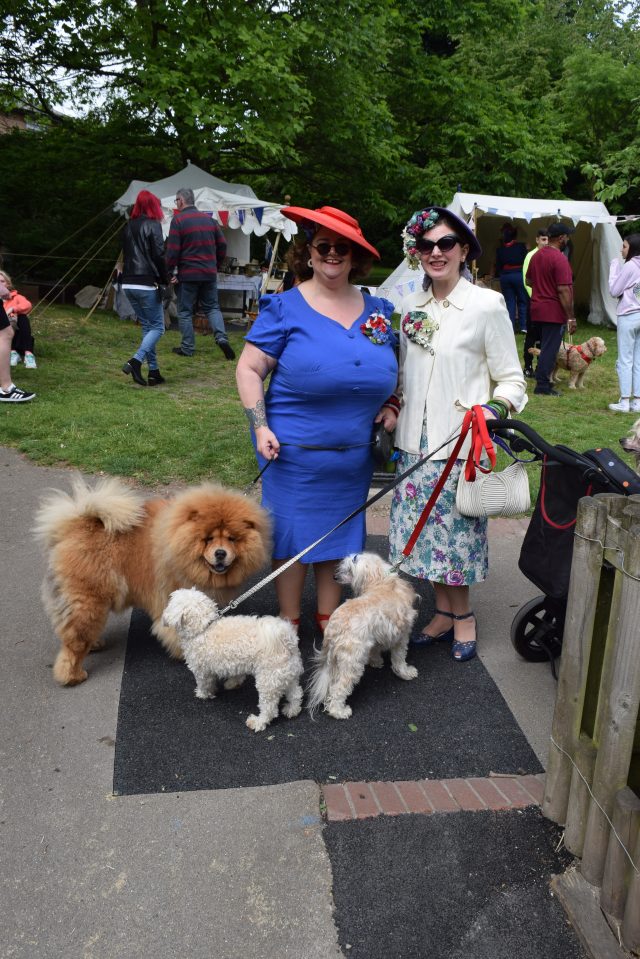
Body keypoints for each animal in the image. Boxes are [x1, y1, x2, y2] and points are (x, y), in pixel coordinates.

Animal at [35, 476, 270, 688]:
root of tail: (73, 526)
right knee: (74, 644)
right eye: (208, 539)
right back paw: (73, 676)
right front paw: (183, 652)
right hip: (88, 601)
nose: (221, 553)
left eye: (232, 539)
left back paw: (95, 645)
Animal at [161, 584, 304, 736]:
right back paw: (292, 710)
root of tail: (286, 638)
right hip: (287, 674)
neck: (204, 628)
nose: (163, 616)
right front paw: (231, 683)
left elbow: (204, 683)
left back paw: (258, 722)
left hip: (268, 681)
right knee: (296, 693)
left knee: (269, 708)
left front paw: (203, 694)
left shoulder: (201, 670)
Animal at [306, 556, 420, 720]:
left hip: (336, 661)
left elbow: (375, 650)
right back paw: (339, 711)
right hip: (352, 663)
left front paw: (376, 662)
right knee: (338, 689)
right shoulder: (402, 636)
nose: (334, 577)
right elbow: (399, 659)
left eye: (349, 570)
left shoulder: (376, 636)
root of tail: (333, 629)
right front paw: (406, 672)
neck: (381, 582)